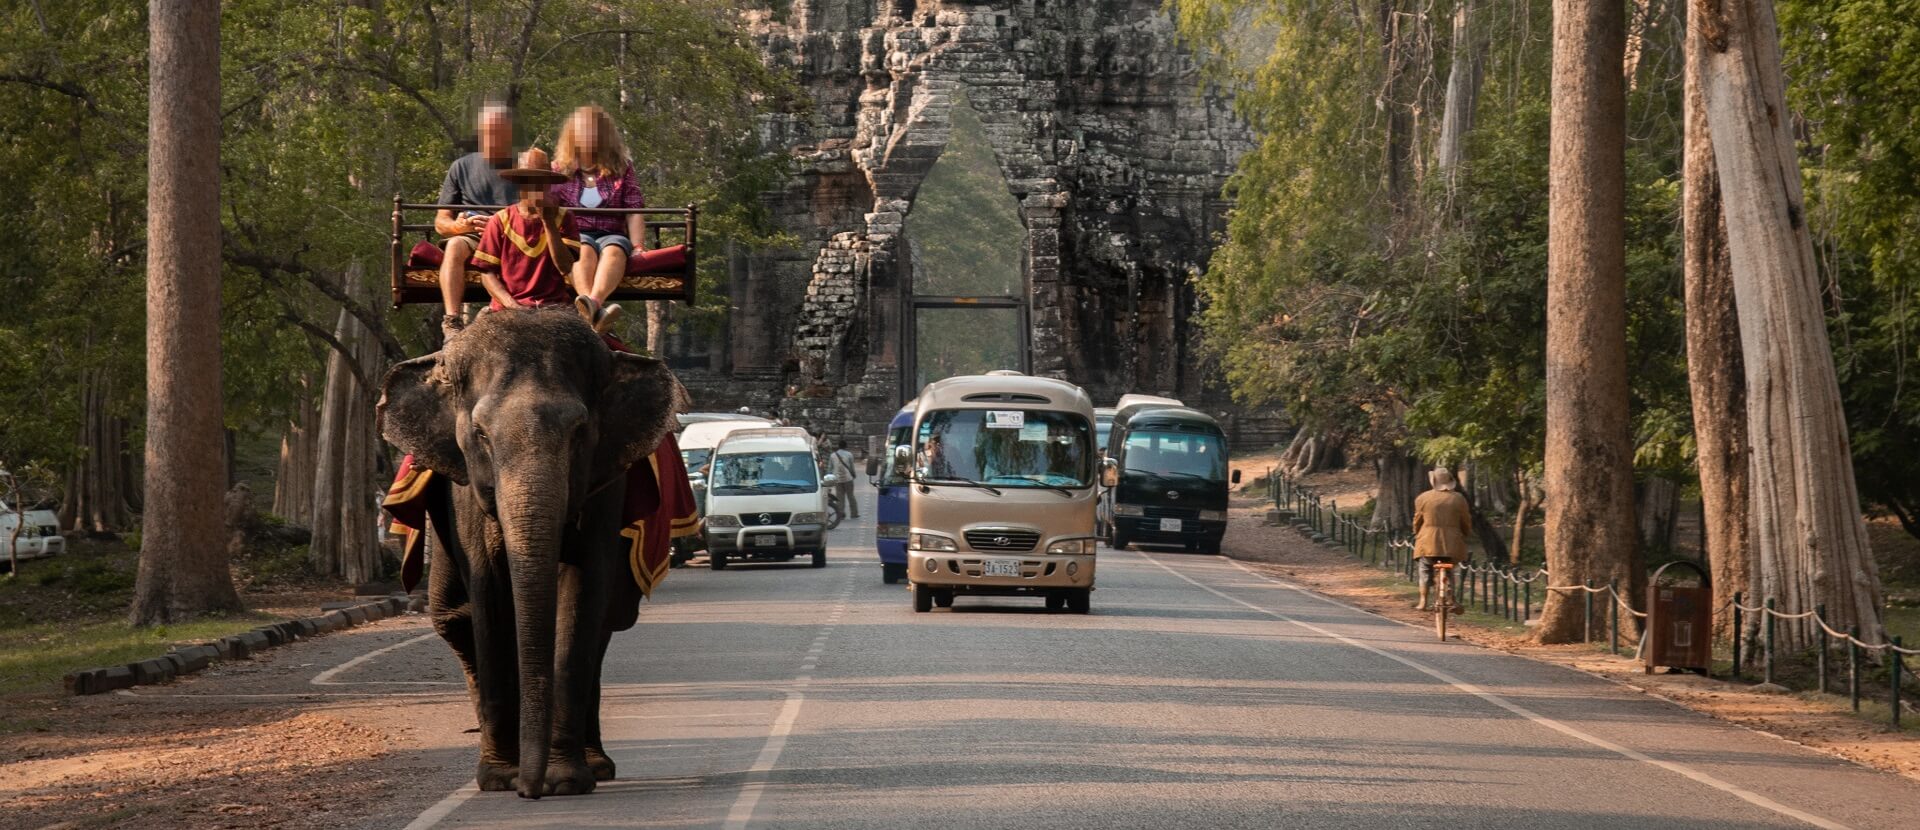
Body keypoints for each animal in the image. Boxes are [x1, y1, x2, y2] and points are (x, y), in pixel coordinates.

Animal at [377, 309, 684, 798]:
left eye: (579, 431)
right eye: (480, 434)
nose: (530, 790)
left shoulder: (604, 485)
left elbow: (581, 593)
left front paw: (564, 782)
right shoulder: (464, 492)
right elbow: (487, 594)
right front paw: (499, 779)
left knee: (608, 620)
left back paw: (594, 765)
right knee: (453, 617)